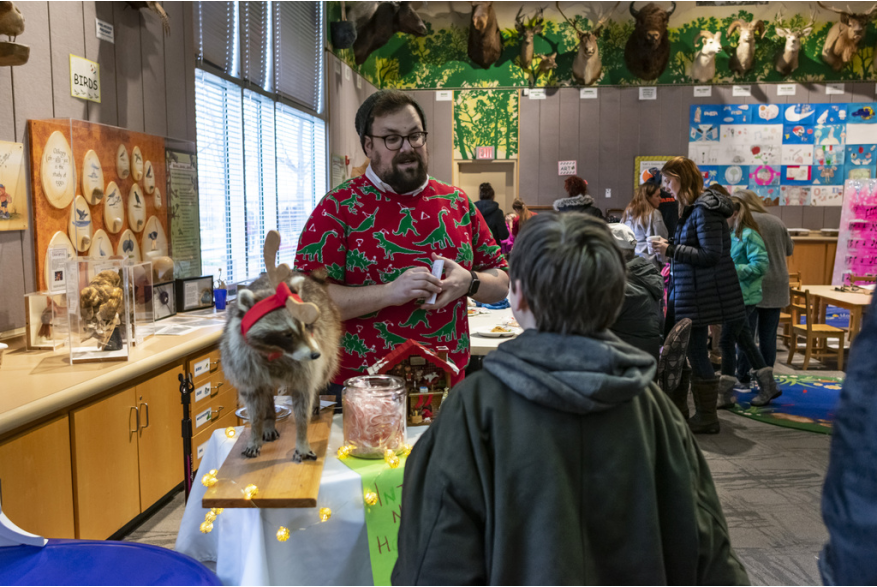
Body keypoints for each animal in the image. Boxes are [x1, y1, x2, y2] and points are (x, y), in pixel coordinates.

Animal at [221, 232, 340, 462]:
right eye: (287, 334)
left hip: (330, 340)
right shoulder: (243, 363)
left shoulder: (306, 365)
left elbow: (304, 398)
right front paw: (256, 431)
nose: (315, 354)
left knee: (323, 373)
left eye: (307, 326)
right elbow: (253, 405)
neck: (274, 352)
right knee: (266, 394)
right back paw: (269, 420)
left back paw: (316, 399)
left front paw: (302, 439)